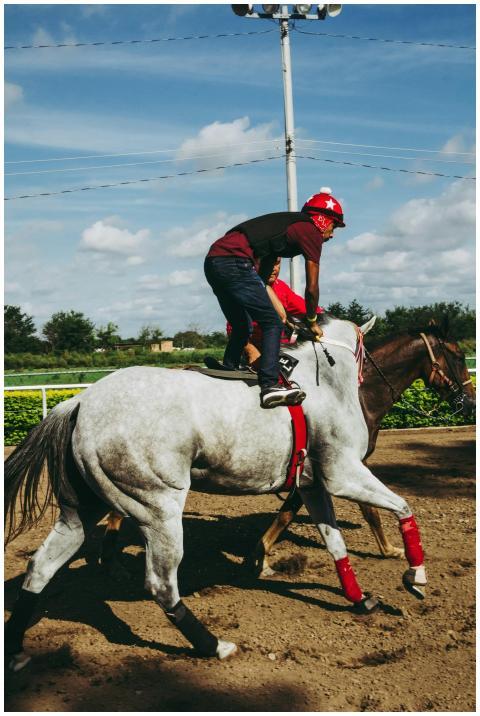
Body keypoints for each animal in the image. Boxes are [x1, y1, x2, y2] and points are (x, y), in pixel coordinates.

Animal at [5, 315, 431, 671]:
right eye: (446, 354)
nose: (453, 394)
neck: (322, 381)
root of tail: (80, 401)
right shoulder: (343, 473)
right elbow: (402, 506)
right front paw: (415, 574)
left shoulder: (313, 485)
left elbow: (336, 544)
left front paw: (360, 598)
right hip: (158, 508)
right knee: (161, 584)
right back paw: (213, 645)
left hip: (80, 511)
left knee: (40, 567)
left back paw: (17, 650)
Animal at [248, 319, 475, 576]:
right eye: (458, 356)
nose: (471, 402)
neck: (359, 396)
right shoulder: (341, 463)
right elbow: (368, 511)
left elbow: (291, 510)